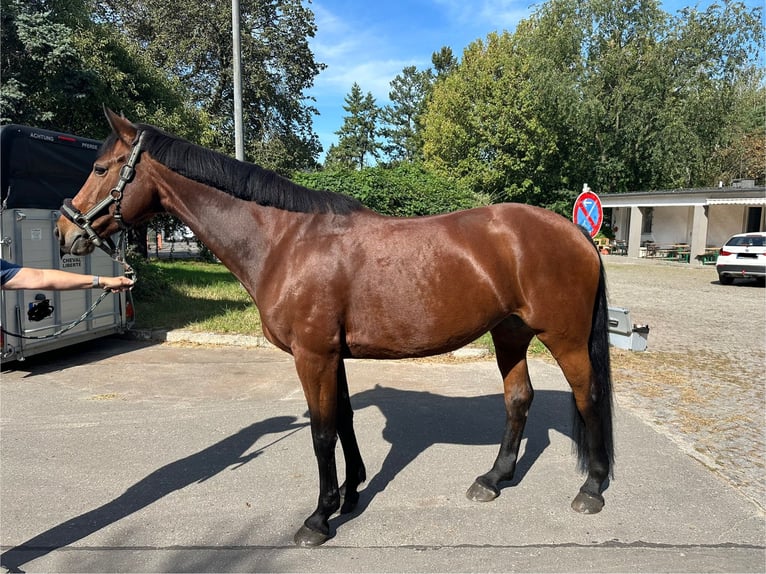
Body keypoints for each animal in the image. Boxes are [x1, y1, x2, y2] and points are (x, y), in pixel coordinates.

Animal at [56, 108, 614, 547]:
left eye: (101, 167)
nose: (65, 230)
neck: (286, 241)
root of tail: (580, 235)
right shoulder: (334, 355)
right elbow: (343, 418)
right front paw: (350, 493)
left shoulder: (314, 355)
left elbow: (322, 432)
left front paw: (319, 517)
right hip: (510, 333)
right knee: (518, 399)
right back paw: (494, 479)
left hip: (562, 338)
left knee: (587, 398)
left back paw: (591, 489)